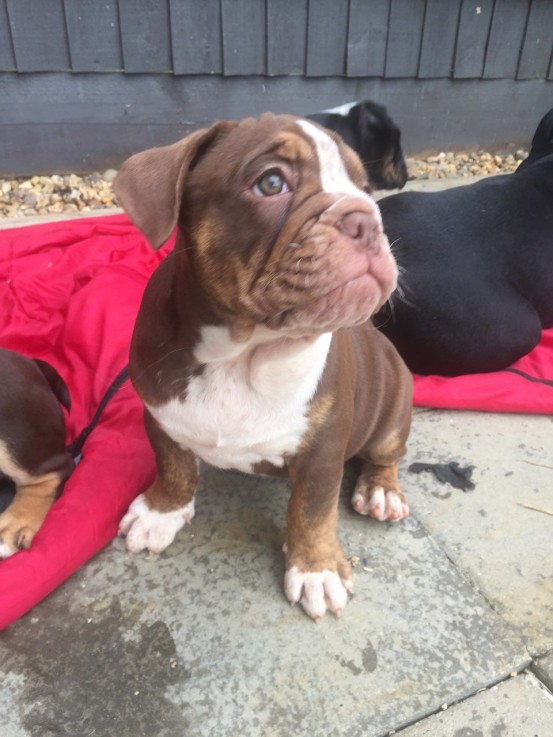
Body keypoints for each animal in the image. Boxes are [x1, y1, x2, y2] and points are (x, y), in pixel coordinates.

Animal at [115, 113, 410, 620]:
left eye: (366, 187)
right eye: (271, 183)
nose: (366, 217)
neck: (242, 352)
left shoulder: (323, 448)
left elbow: (313, 509)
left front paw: (315, 569)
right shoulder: (160, 414)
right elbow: (173, 465)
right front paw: (160, 513)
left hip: (394, 404)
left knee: (385, 454)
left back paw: (381, 490)